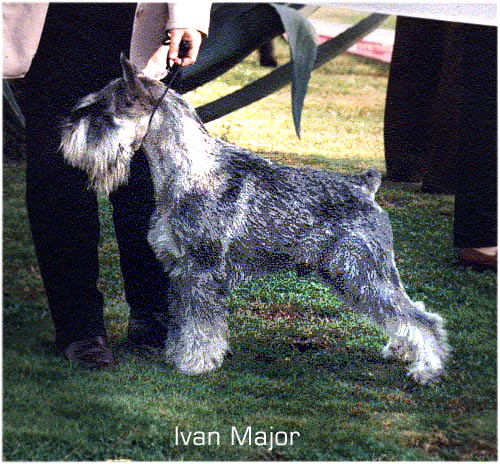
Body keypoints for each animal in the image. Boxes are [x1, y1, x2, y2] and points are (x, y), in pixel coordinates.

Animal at [59, 56, 450, 384]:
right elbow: (184, 320)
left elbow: (201, 325)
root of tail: (365, 185)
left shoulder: (202, 269)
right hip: (353, 275)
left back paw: (426, 369)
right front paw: (178, 354)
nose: (65, 133)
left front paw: (195, 363)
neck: (187, 169)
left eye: (102, 111)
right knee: (406, 313)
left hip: (361, 271)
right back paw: (403, 351)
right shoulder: (182, 270)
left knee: (419, 318)